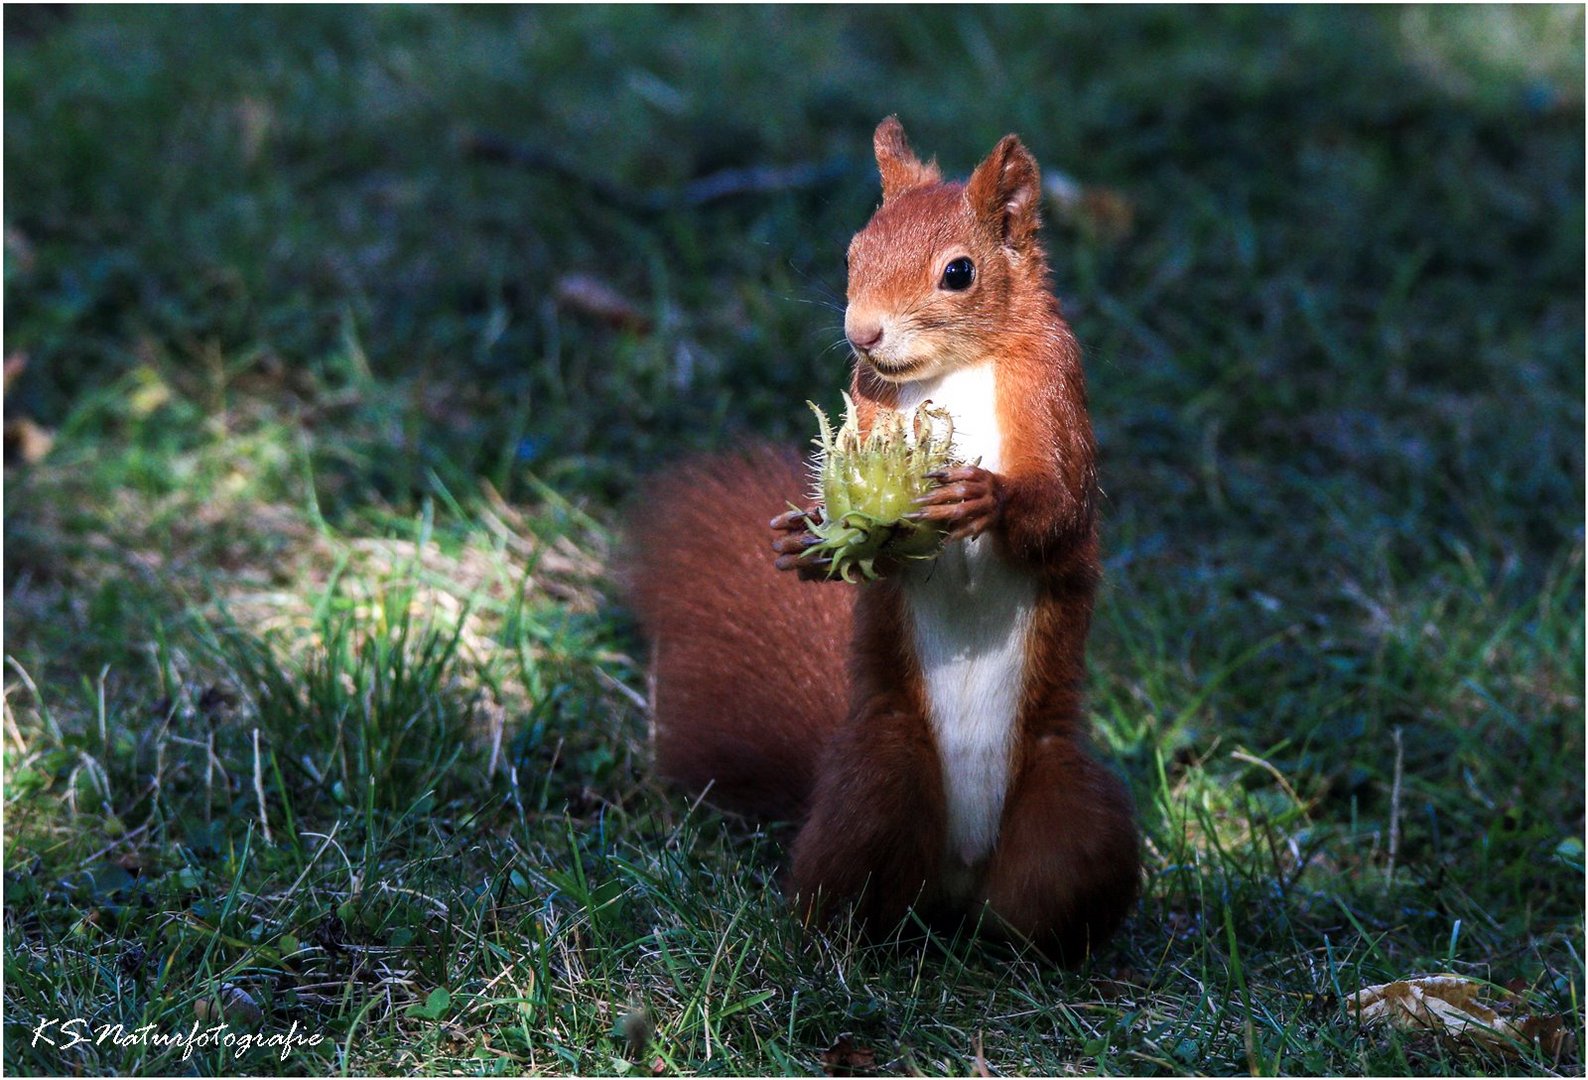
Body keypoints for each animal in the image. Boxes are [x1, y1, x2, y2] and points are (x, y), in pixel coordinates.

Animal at [625, 118, 1137, 959]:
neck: (958, 371)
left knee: (1043, 902)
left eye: (959, 272)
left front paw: (988, 497)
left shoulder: (1055, 395)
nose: (861, 333)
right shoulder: (867, 409)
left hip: (1070, 810)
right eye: (851, 254)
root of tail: (962, 876)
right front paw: (802, 542)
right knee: (848, 888)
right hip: (877, 783)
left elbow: (1061, 514)